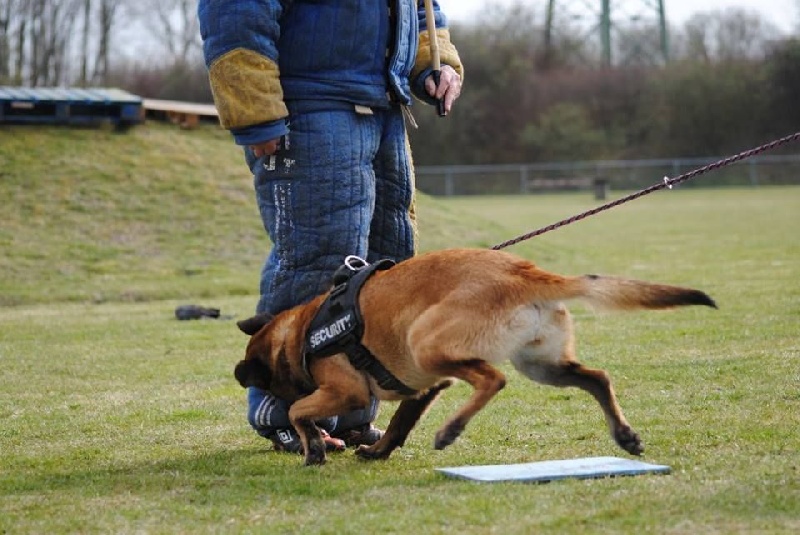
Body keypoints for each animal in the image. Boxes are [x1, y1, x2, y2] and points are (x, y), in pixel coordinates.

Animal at [234, 249, 716, 466]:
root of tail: (524, 272)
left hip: (425, 341)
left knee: (492, 379)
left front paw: (313, 446)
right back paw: (624, 435)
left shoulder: (347, 390)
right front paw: (377, 452)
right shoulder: (425, 385)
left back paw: (451, 430)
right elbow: (399, 424)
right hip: (541, 365)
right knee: (597, 377)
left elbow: (299, 409)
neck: (302, 330)